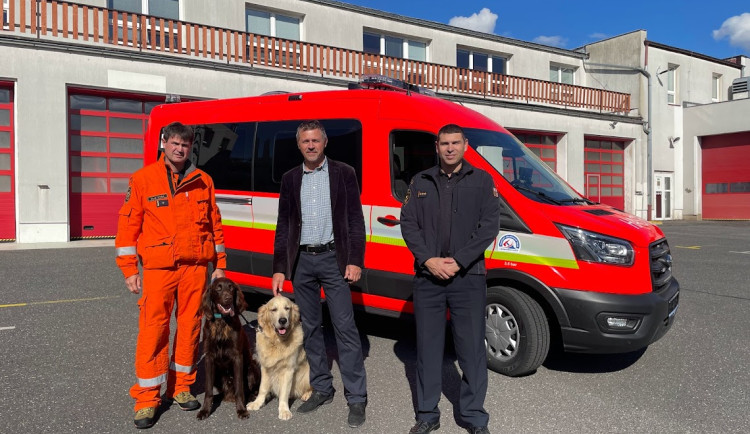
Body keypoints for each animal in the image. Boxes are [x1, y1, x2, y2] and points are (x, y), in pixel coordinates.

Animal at [197, 276, 262, 418]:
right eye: (218, 288)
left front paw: (242, 410)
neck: (222, 322)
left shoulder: (237, 357)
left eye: (231, 288)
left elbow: (239, 388)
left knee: (249, 390)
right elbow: (208, 390)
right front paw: (205, 410)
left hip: (252, 366)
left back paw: (251, 397)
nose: (228, 298)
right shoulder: (209, 357)